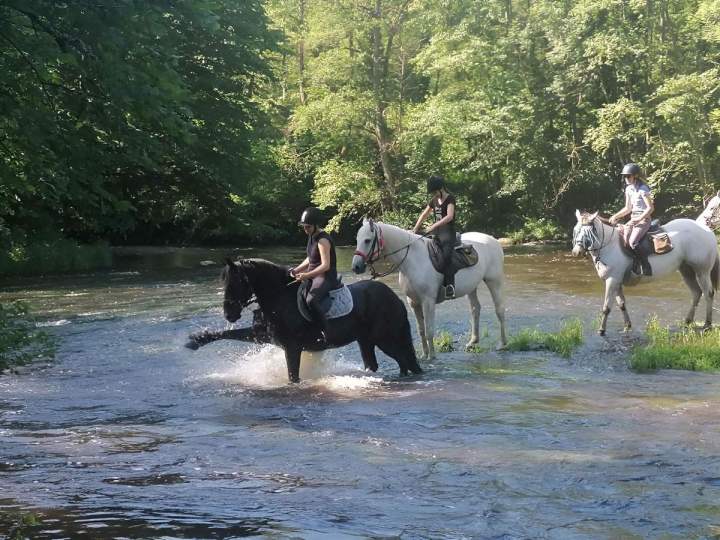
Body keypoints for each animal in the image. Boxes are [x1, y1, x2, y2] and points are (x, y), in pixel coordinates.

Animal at [221, 258, 422, 383]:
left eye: (237, 282)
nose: (229, 314)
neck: (280, 297)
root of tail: (395, 298)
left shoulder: (292, 348)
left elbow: (293, 377)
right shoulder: (264, 337)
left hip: (385, 340)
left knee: (405, 361)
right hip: (366, 341)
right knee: (386, 364)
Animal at [351, 220, 507, 360]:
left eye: (367, 240)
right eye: (357, 239)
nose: (356, 267)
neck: (412, 260)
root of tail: (492, 240)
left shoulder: (428, 301)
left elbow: (429, 330)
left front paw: (432, 356)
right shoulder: (413, 302)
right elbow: (421, 330)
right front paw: (424, 354)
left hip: (494, 281)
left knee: (499, 310)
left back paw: (502, 344)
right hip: (472, 287)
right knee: (475, 309)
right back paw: (472, 342)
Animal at [571, 202, 720, 335]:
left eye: (588, 232)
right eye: (576, 230)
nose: (576, 252)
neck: (610, 245)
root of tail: (707, 230)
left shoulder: (612, 281)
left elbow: (606, 307)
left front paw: (601, 330)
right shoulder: (617, 281)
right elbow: (622, 304)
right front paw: (627, 326)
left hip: (702, 271)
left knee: (708, 293)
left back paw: (707, 325)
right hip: (686, 270)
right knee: (696, 293)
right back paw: (687, 321)